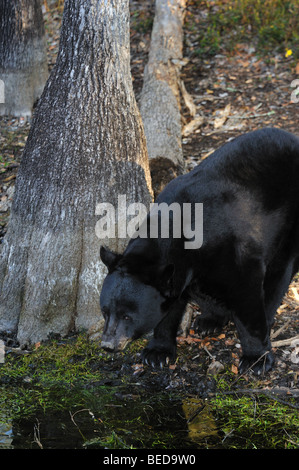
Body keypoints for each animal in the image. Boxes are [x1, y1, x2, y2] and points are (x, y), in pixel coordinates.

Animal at [100, 127, 299, 374]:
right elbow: (171, 306)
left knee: (280, 271)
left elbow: (247, 295)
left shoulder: (234, 251)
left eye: (127, 316)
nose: (108, 345)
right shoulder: (177, 273)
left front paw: (256, 359)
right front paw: (157, 352)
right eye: (105, 312)